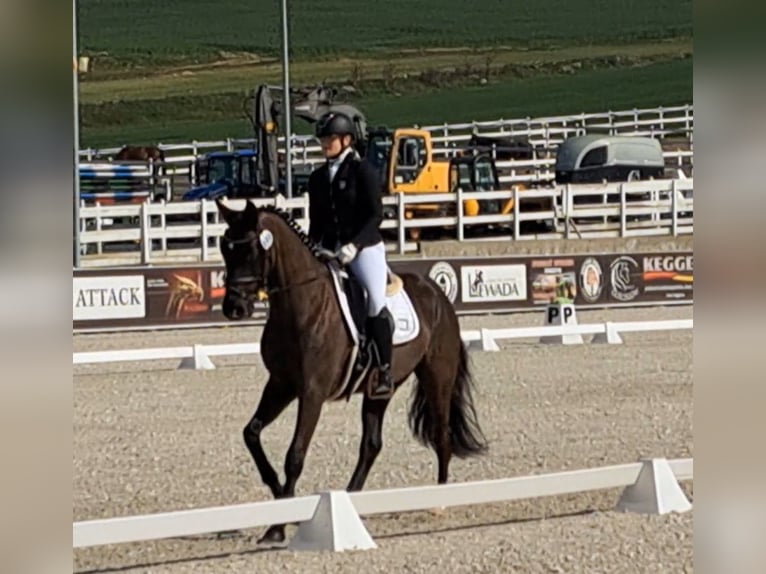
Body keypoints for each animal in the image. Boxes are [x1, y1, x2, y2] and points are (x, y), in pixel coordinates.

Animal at [216, 199, 488, 547]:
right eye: (225, 248)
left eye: (250, 249)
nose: (233, 308)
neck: (301, 304)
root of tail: (437, 293)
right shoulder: (280, 384)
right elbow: (251, 434)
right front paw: (282, 504)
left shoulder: (312, 392)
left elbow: (295, 455)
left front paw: (278, 525)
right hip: (380, 389)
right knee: (371, 444)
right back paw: (354, 500)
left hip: (437, 376)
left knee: (442, 435)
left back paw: (439, 502)